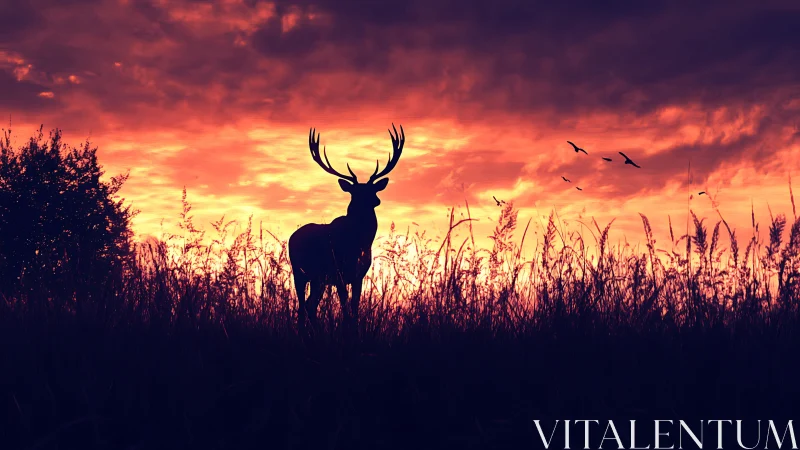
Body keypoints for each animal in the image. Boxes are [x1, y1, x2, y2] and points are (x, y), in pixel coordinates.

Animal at [289, 124, 405, 335]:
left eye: (372, 189)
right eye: (355, 192)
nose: (376, 200)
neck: (359, 242)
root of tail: (292, 237)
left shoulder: (358, 276)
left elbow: (354, 307)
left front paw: (354, 332)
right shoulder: (339, 274)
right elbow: (344, 307)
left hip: (318, 279)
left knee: (310, 305)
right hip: (299, 272)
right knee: (302, 306)